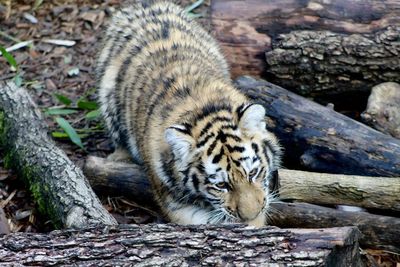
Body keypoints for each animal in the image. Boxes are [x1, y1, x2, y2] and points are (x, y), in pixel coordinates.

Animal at [96, 0, 282, 227]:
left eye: (253, 173)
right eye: (221, 185)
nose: (250, 215)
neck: (204, 108)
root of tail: (143, 4)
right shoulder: (174, 203)